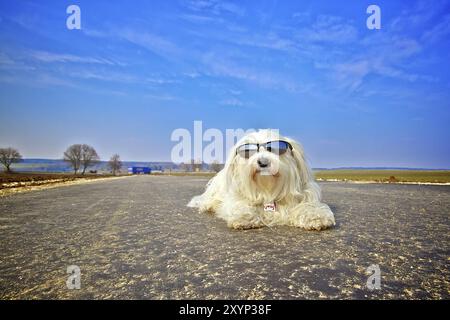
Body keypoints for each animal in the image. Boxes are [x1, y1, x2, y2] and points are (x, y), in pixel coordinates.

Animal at [186, 129, 334, 230]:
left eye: (276, 149)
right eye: (248, 151)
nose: (263, 162)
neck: (267, 190)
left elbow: (308, 206)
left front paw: (314, 216)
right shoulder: (235, 199)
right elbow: (241, 205)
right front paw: (245, 216)